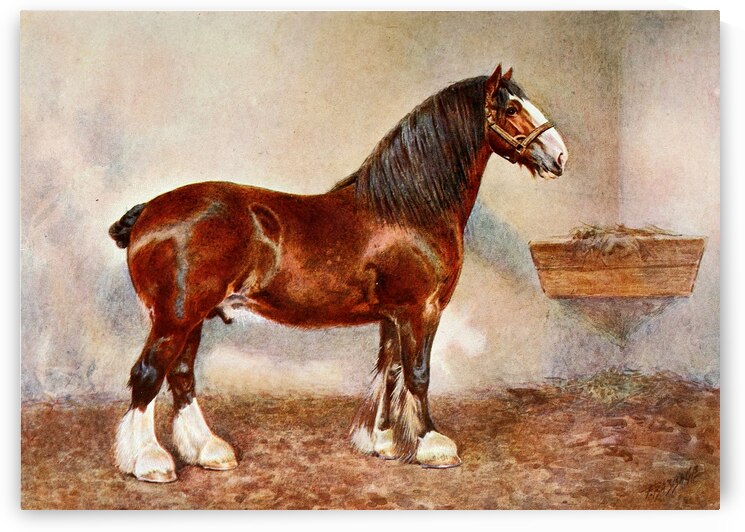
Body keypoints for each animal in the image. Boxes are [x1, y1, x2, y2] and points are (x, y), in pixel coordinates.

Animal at [109, 64, 567, 483]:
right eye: (511, 108)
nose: (560, 156)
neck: (407, 210)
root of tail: (148, 211)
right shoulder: (422, 310)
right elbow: (418, 375)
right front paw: (432, 445)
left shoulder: (392, 315)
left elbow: (390, 372)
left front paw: (383, 441)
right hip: (176, 318)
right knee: (148, 375)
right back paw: (150, 462)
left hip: (194, 318)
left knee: (181, 378)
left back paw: (209, 451)